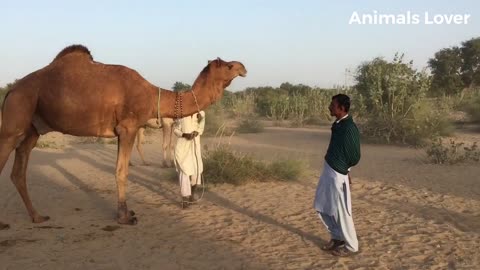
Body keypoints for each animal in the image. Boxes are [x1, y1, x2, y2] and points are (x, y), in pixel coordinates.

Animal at [0, 44, 248, 226]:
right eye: (228, 65)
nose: (243, 67)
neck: (152, 95)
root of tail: (11, 90)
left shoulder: (125, 130)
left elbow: (121, 169)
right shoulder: (128, 128)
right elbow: (122, 171)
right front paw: (125, 217)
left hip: (32, 128)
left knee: (19, 170)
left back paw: (37, 216)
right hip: (15, 117)